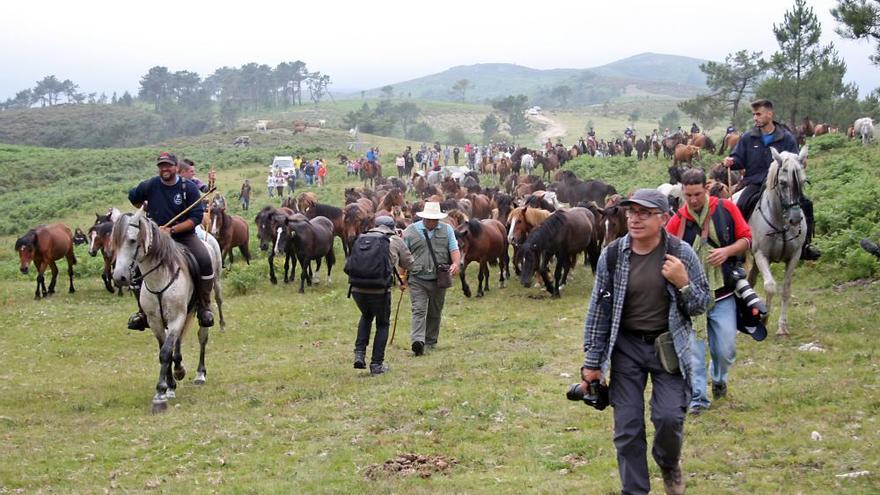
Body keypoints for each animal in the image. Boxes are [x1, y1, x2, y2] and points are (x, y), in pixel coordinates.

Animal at [110, 209, 225, 414]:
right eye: (114, 241)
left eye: (132, 240)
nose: (119, 277)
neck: (159, 277)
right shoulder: (156, 321)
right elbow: (166, 350)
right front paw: (170, 385)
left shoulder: (176, 318)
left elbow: (165, 353)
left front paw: (160, 394)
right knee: (177, 343)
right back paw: (179, 370)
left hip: (206, 298)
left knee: (202, 336)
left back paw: (200, 374)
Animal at [744, 144, 808, 338]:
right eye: (783, 183)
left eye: (803, 182)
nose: (795, 219)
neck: (781, 221)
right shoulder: (761, 255)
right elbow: (770, 286)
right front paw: (764, 319)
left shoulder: (794, 256)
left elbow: (786, 289)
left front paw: (782, 327)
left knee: (751, 280)